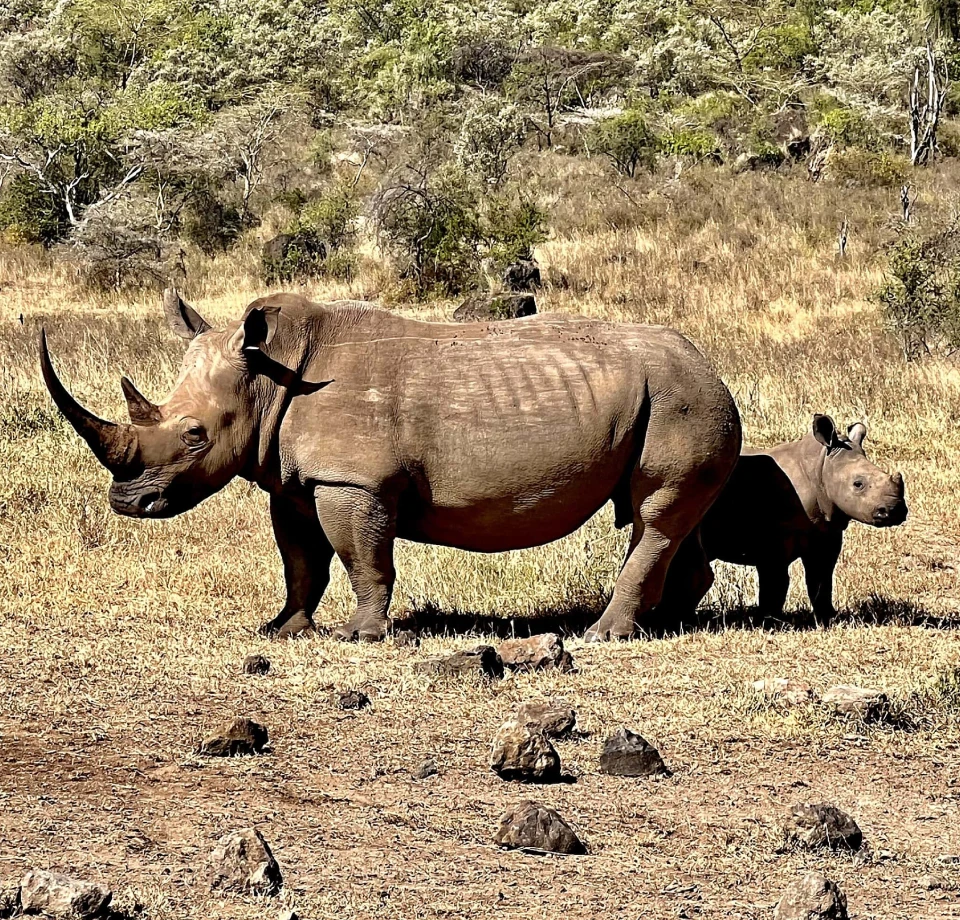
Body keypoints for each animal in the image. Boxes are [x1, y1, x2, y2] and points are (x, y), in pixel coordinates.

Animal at [40, 290, 741, 642]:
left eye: (193, 436)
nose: (126, 503)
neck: (267, 379)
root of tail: (715, 369)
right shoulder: (292, 481)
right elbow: (301, 561)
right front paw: (281, 629)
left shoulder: (353, 481)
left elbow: (362, 557)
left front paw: (361, 634)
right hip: (678, 398)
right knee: (670, 520)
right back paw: (668, 623)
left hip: (683, 400)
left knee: (653, 515)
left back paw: (605, 635)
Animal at [660, 415, 907, 619]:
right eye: (858, 484)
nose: (894, 511)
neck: (820, 468)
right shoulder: (773, 537)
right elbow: (776, 579)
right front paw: (770, 620)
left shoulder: (827, 530)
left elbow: (821, 577)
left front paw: (829, 616)